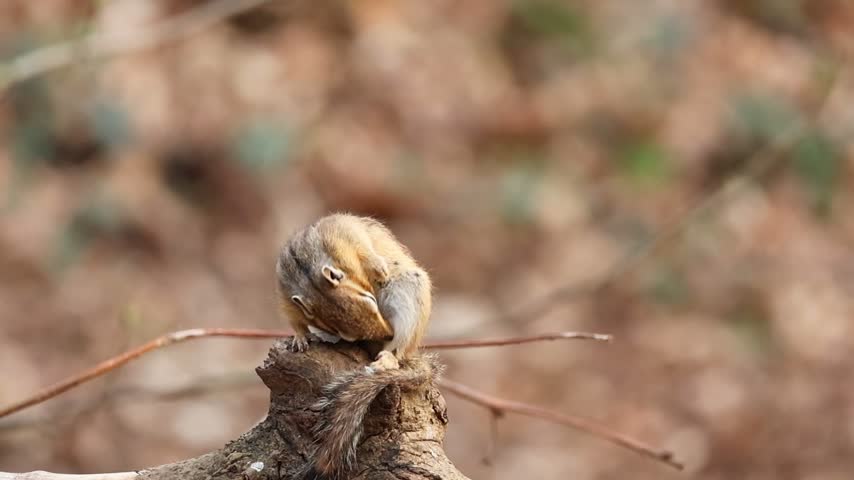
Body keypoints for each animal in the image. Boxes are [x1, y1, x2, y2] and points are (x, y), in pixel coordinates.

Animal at [275, 213, 437, 478]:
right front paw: (300, 338)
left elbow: (363, 246)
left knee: (398, 352)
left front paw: (377, 267)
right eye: (346, 335)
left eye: (370, 299)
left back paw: (388, 357)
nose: (387, 331)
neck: (307, 271)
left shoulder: (344, 230)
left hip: (407, 294)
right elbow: (295, 321)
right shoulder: (286, 299)